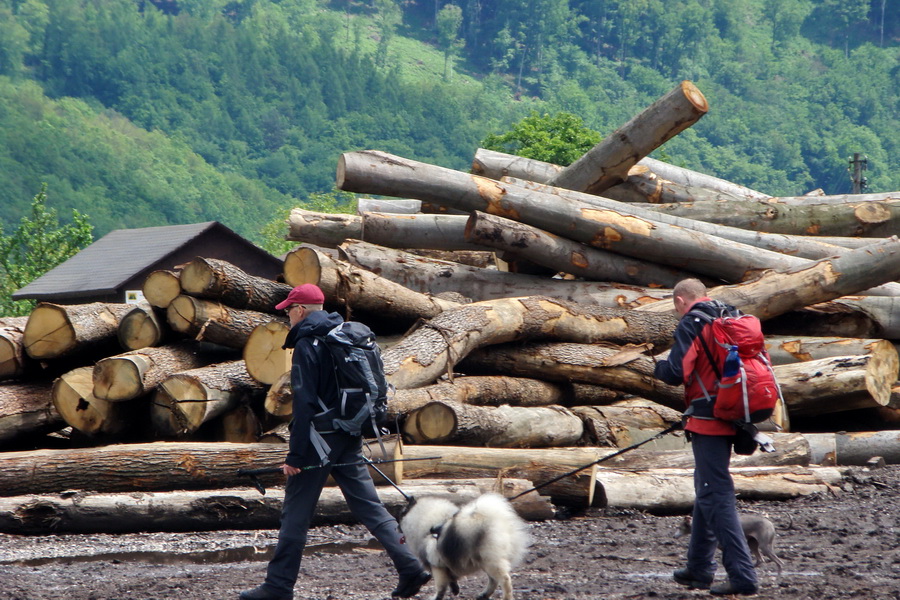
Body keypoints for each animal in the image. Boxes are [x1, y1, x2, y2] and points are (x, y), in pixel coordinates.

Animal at [400, 494, 528, 600]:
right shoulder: (446, 564)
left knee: (504, 579)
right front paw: (455, 590)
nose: (397, 526)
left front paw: (436, 597)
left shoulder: (437, 567)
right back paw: (484, 595)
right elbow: (451, 580)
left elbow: (440, 586)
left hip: (491, 561)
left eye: (402, 512)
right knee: (493, 580)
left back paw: (506, 597)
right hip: (485, 561)